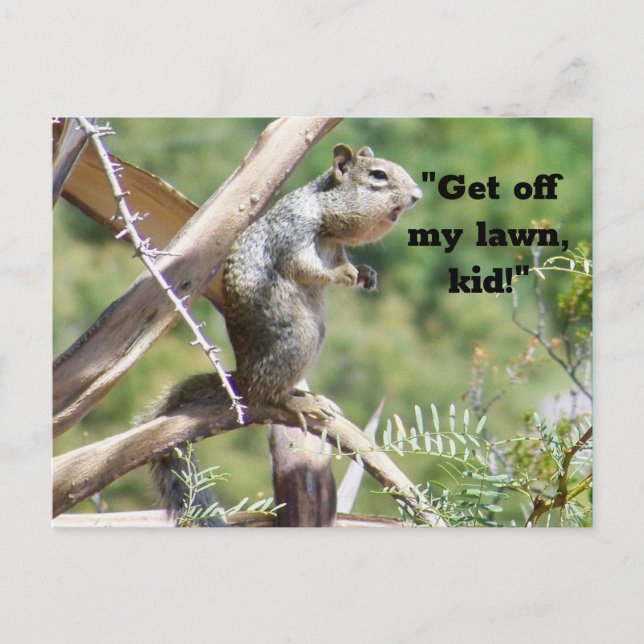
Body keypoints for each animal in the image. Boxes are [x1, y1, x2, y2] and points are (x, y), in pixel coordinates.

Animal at [147, 143, 422, 525]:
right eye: (378, 176)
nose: (417, 195)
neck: (327, 225)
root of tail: (243, 377)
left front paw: (366, 273)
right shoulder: (294, 234)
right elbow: (305, 267)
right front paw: (343, 275)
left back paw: (309, 396)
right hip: (299, 337)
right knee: (267, 396)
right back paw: (297, 403)